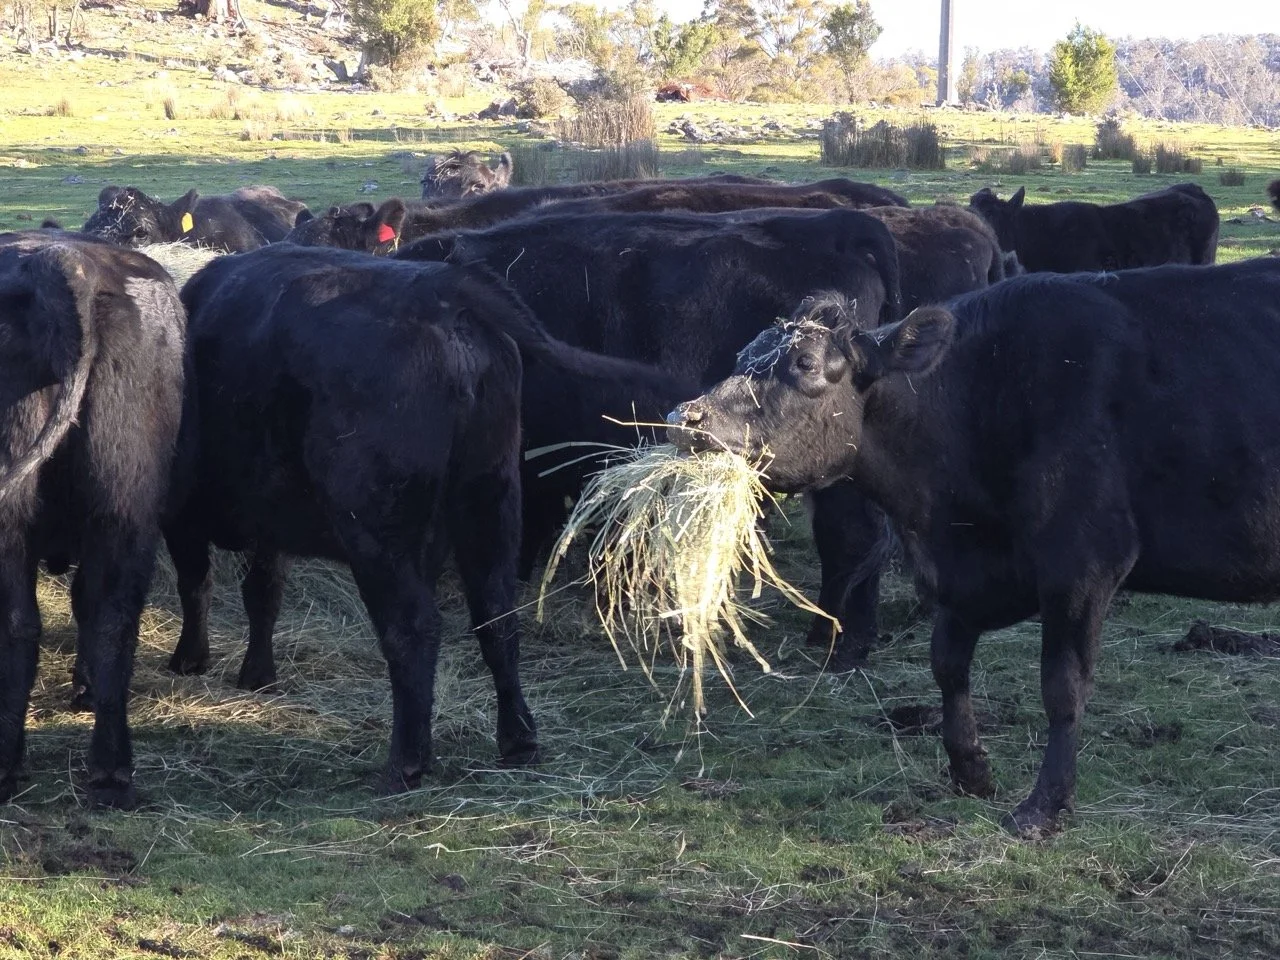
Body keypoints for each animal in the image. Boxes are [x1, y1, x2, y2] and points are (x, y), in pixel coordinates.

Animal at [667, 257, 1280, 834]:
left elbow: (1063, 686)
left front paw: (1043, 806)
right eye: (743, 354)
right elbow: (947, 662)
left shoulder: (1083, 559)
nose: (684, 417)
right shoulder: (963, 576)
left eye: (806, 365)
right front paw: (970, 769)